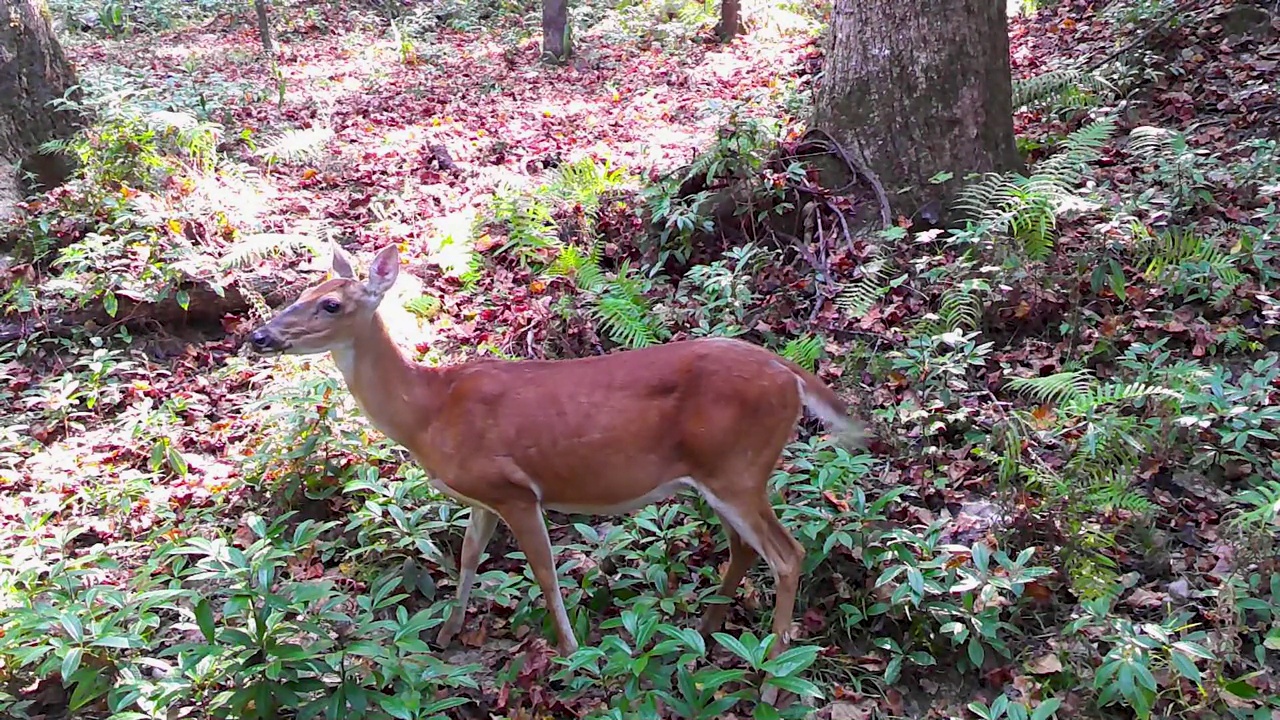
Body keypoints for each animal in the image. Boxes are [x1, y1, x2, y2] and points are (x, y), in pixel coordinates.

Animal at [244, 242, 865, 691]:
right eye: (303, 289)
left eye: (331, 304)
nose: (259, 335)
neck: (429, 412)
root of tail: (790, 373)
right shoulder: (481, 496)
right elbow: (467, 557)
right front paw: (445, 634)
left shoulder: (516, 490)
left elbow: (544, 572)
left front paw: (572, 657)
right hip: (718, 476)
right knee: (744, 548)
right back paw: (705, 633)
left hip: (738, 467)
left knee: (788, 554)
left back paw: (773, 681)